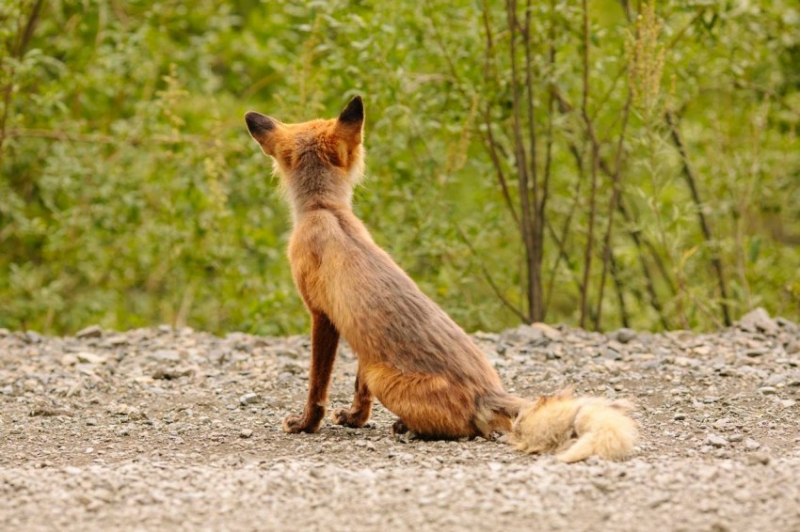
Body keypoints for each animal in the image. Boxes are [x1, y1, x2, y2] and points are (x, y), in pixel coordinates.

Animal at [244, 95, 636, 462]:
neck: (325, 210)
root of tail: (487, 393)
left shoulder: (321, 315)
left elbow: (317, 385)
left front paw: (306, 424)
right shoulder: (359, 342)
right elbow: (359, 390)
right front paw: (355, 418)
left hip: (384, 377)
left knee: (462, 430)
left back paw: (408, 428)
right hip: (376, 366)